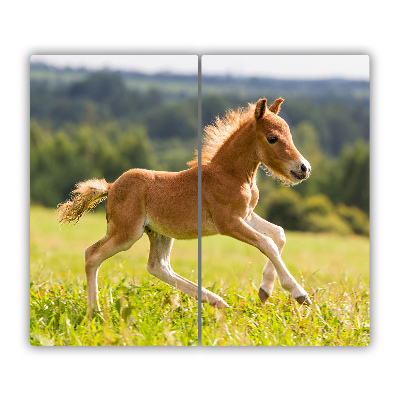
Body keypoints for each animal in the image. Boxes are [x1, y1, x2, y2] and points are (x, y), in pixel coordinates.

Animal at [57, 97, 310, 316]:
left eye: (289, 135)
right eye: (272, 138)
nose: (304, 168)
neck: (231, 175)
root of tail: (110, 187)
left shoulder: (246, 215)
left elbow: (279, 234)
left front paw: (265, 290)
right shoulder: (228, 222)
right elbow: (267, 243)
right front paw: (299, 294)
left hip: (158, 233)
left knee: (157, 266)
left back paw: (216, 301)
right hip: (127, 232)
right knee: (92, 255)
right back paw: (94, 312)